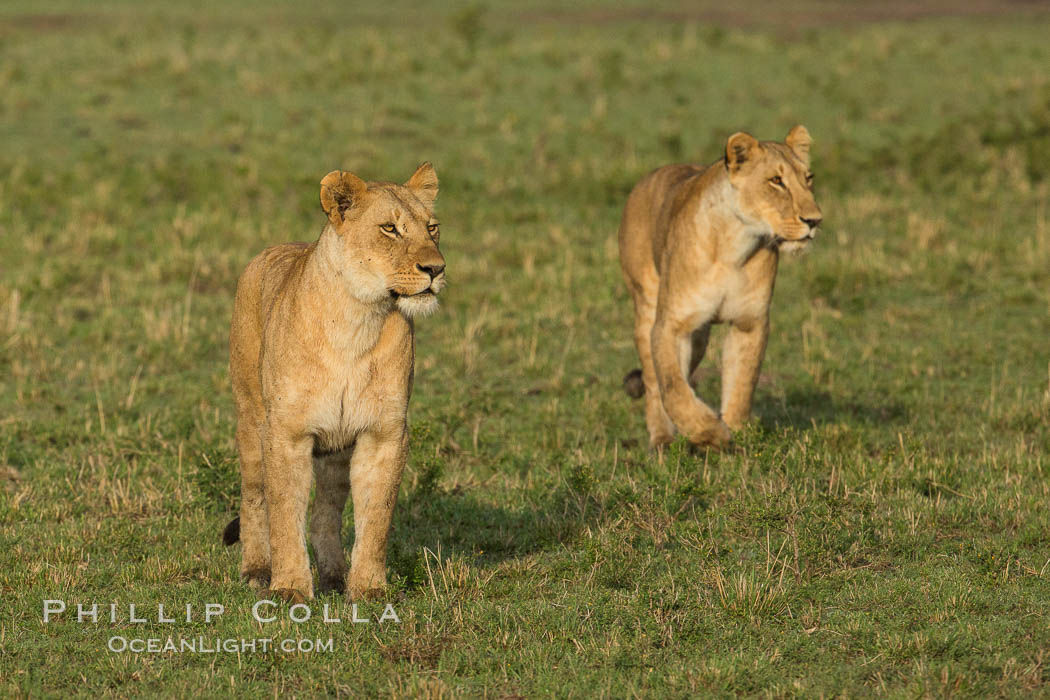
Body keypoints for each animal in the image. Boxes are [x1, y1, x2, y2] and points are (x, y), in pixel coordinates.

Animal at [223, 161, 445, 600]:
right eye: (390, 229)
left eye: (432, 228)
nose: (436, 269)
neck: (357, 318)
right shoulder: (286, 433)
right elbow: (284, 515)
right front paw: (289, 589)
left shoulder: (383, 433)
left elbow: (376, 518)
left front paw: (369, 590)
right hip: (251, 419)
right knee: (254, 497)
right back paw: (256, 570)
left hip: (336, 448)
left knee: (325, 512)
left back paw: (334, 576)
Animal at [617, 126, 823, 451]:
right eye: (776, 181)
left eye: (808, 178)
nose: (815, 220)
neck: (734, 245)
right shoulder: (670, 325)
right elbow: (672, 387)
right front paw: (709, 432)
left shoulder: (750, 322)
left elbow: (741, 384)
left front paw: (736, 434)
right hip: (646, 304)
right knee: (653, 381)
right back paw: (662, 439)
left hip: (700, 336)